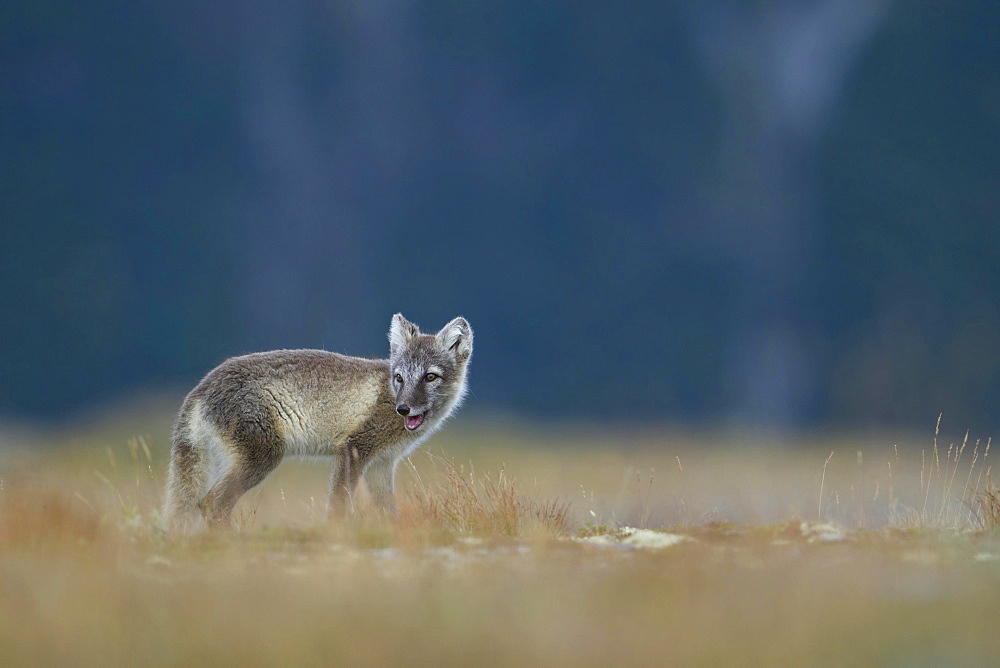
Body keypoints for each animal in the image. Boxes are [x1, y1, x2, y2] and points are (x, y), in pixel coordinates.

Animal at [162, 314, 474, 532]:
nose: (403, 409)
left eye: (430, 376)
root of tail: (200, 388)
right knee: (211, 503)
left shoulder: (382, 464)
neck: (388, 392)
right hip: (264, 457)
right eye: (399, 377)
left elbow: (388, 509)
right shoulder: (352, 450)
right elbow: (338, 505)